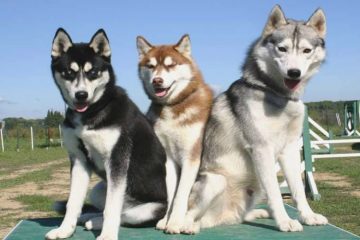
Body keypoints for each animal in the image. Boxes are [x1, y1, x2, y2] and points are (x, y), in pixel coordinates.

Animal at [45, 28, 167, 240]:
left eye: (93, 72)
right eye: (69, 72)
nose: (81, 95)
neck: (90, 114)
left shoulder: (117, 160)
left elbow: (112, 209)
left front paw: (108, 235)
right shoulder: (79, 160)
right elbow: (73, 203)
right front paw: (64, 229)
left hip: (152, 208)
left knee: (124, 214)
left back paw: (95, 222)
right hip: (98, 189)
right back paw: (90, 217)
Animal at [136, 34, 212, 233]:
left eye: (170, 65)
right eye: (151, 66)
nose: (157, 81)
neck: (172, 108)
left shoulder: (191, 157)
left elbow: (180, 194)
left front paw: (175, 222)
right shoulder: (168, 158)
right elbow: (171, 193)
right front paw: (165, 220)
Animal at [183, 4, 330, 233]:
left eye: (307, 51)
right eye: (282, 49)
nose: (294, 73)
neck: (278, 96)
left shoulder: (289, 149)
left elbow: (298, 191)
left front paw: (308, 216)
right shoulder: (261, 148)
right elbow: (276, 193)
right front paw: (285, 221)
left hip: (254, 188)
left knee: (238, 217)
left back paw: (256, 214)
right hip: (215, 181)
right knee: (191, 215)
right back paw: (185, 226)